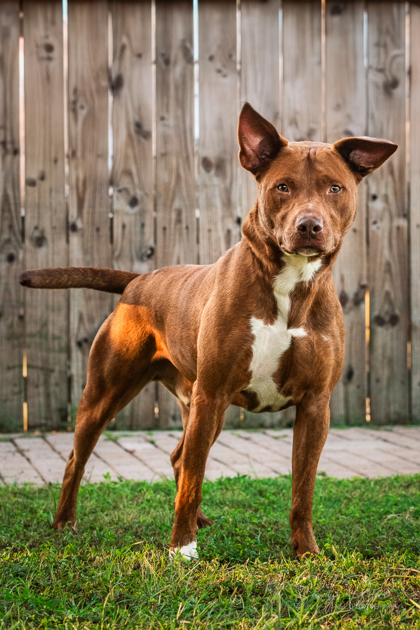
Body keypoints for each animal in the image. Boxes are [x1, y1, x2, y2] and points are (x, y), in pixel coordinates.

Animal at [20, 105, 398, 564]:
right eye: (283, 187)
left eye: (335, 188)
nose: (309, 226)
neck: (290, 285)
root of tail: (138, 281)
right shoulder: (213, 392)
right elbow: (194, 481)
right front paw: (182, 549)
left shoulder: (315, 406)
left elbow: (302, 491)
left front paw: (306, 550)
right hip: (113, 394)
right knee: (82, 457)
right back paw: (65, 522)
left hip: (199, 407)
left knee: (179, 458)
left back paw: (198, 520)